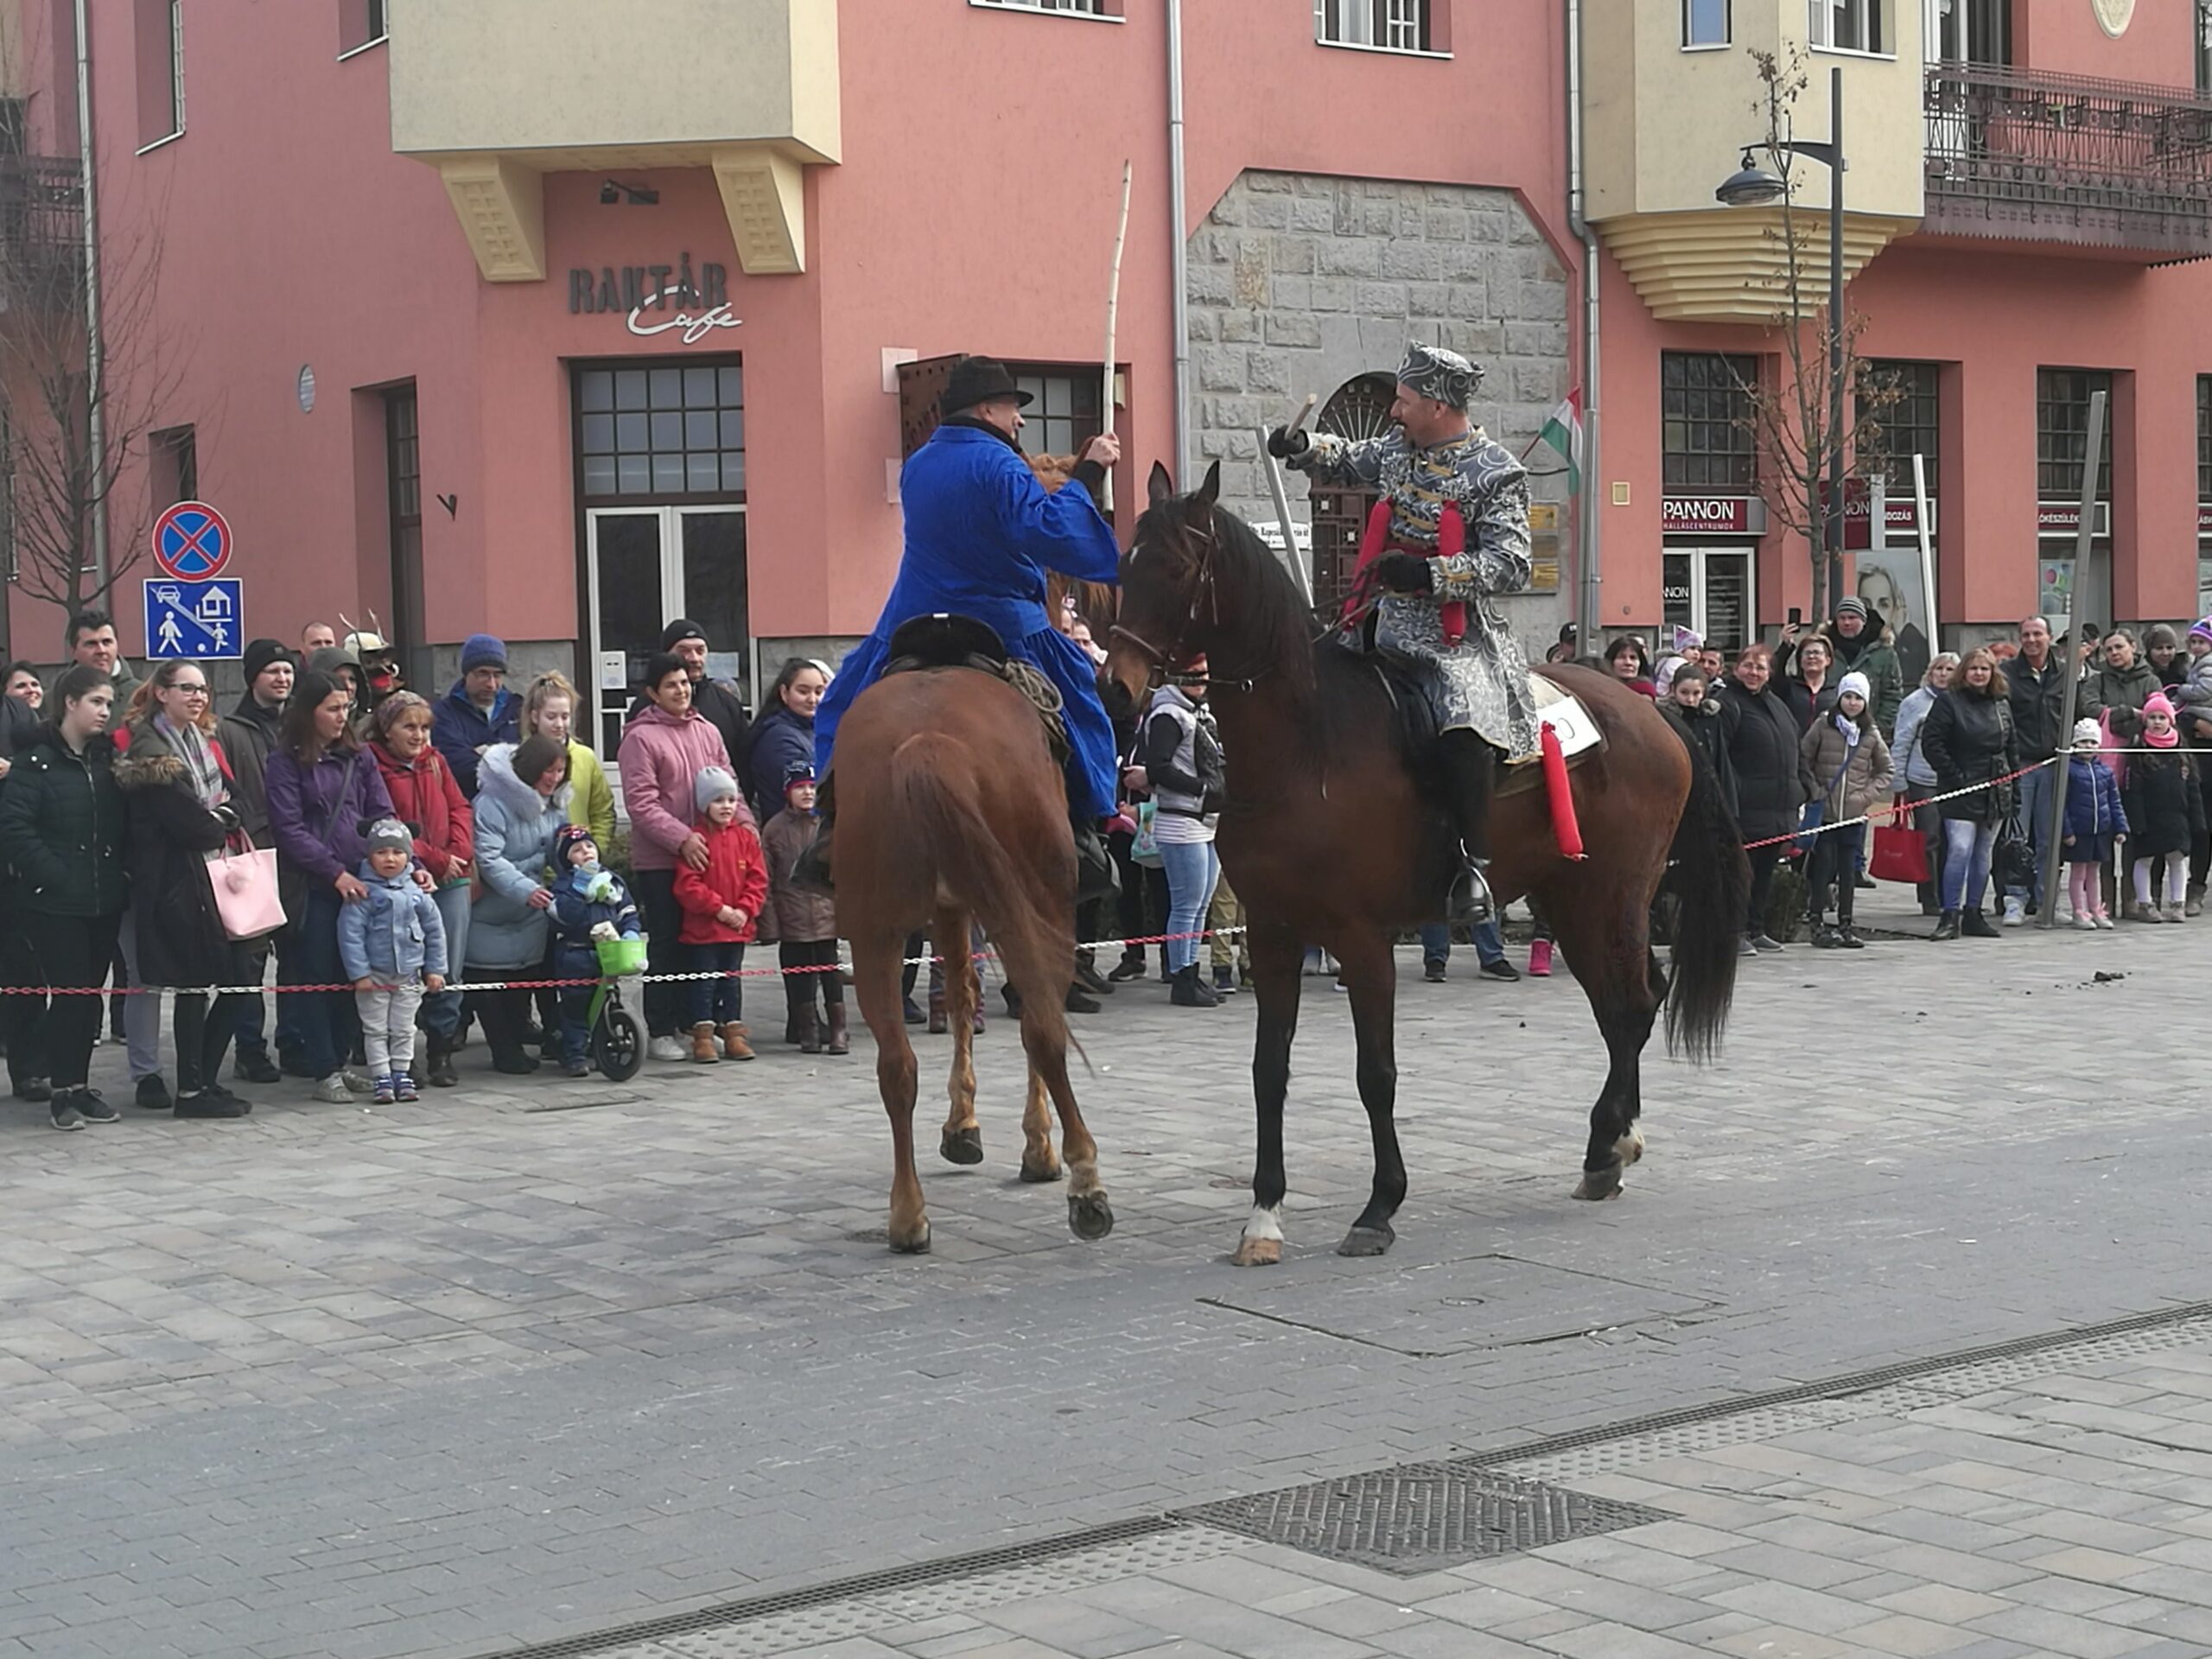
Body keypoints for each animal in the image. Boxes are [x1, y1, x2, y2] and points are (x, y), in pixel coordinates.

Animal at [827, 654, 1115, 1256]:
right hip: (1038, 902)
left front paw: (962, 1126)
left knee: (897, 1065)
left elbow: (960, 994)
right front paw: (1035, 1147)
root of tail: (928, 741)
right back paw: (1084, 1184)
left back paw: (907, 1217)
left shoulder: (949, 906)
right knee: (1045, 1032)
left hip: (873, 932)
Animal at [1101, 462, 1743, 1265]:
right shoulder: (1276, 934)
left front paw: (1380, 1206)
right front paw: (1264, 1215)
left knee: (1631, 1002)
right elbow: (1268, 1071)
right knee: (1621, 1005)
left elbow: (1375, 1073)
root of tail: (1653, 712)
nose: (1114, 686)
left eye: (1177, 568)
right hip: (1569, 898)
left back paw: (1609, 1146)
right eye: (1124, 563)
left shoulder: (1361, 939)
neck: (1305, 748)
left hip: (1613, 894)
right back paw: (1606, 1147)